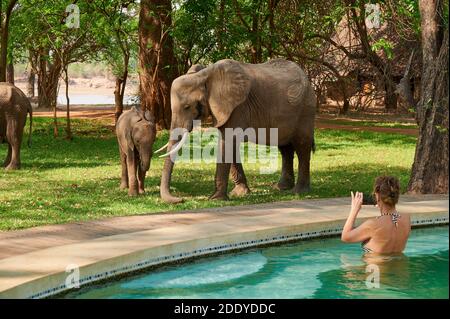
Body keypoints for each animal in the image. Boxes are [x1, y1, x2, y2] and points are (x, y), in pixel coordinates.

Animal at [158, 57, 316, 204]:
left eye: (187, 107)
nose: (181, 199)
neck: (204, 76)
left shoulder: (237, 106)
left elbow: (227, 142)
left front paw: (216, 199)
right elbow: (230, 145)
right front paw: (240, 193)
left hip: (305, 109)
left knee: (302, 146)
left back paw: (298, 191)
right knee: (285, 148)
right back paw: (281, 188)